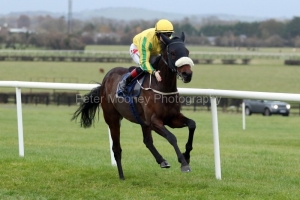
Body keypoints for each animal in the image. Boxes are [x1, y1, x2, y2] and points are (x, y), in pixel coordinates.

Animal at [71, 32, 196, 180]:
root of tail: (105, 81)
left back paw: (162, 161)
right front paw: (183, 163)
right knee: (117, 148)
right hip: (113, 119)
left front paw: (187, 155)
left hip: (142, 121)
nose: (187, 74)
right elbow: (172, 137)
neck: (162, 87)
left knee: (147, 141)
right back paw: (121, 176)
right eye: (172, 53)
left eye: (187, 51)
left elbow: (192, 124)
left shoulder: (172, 118)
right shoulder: (155, 121)